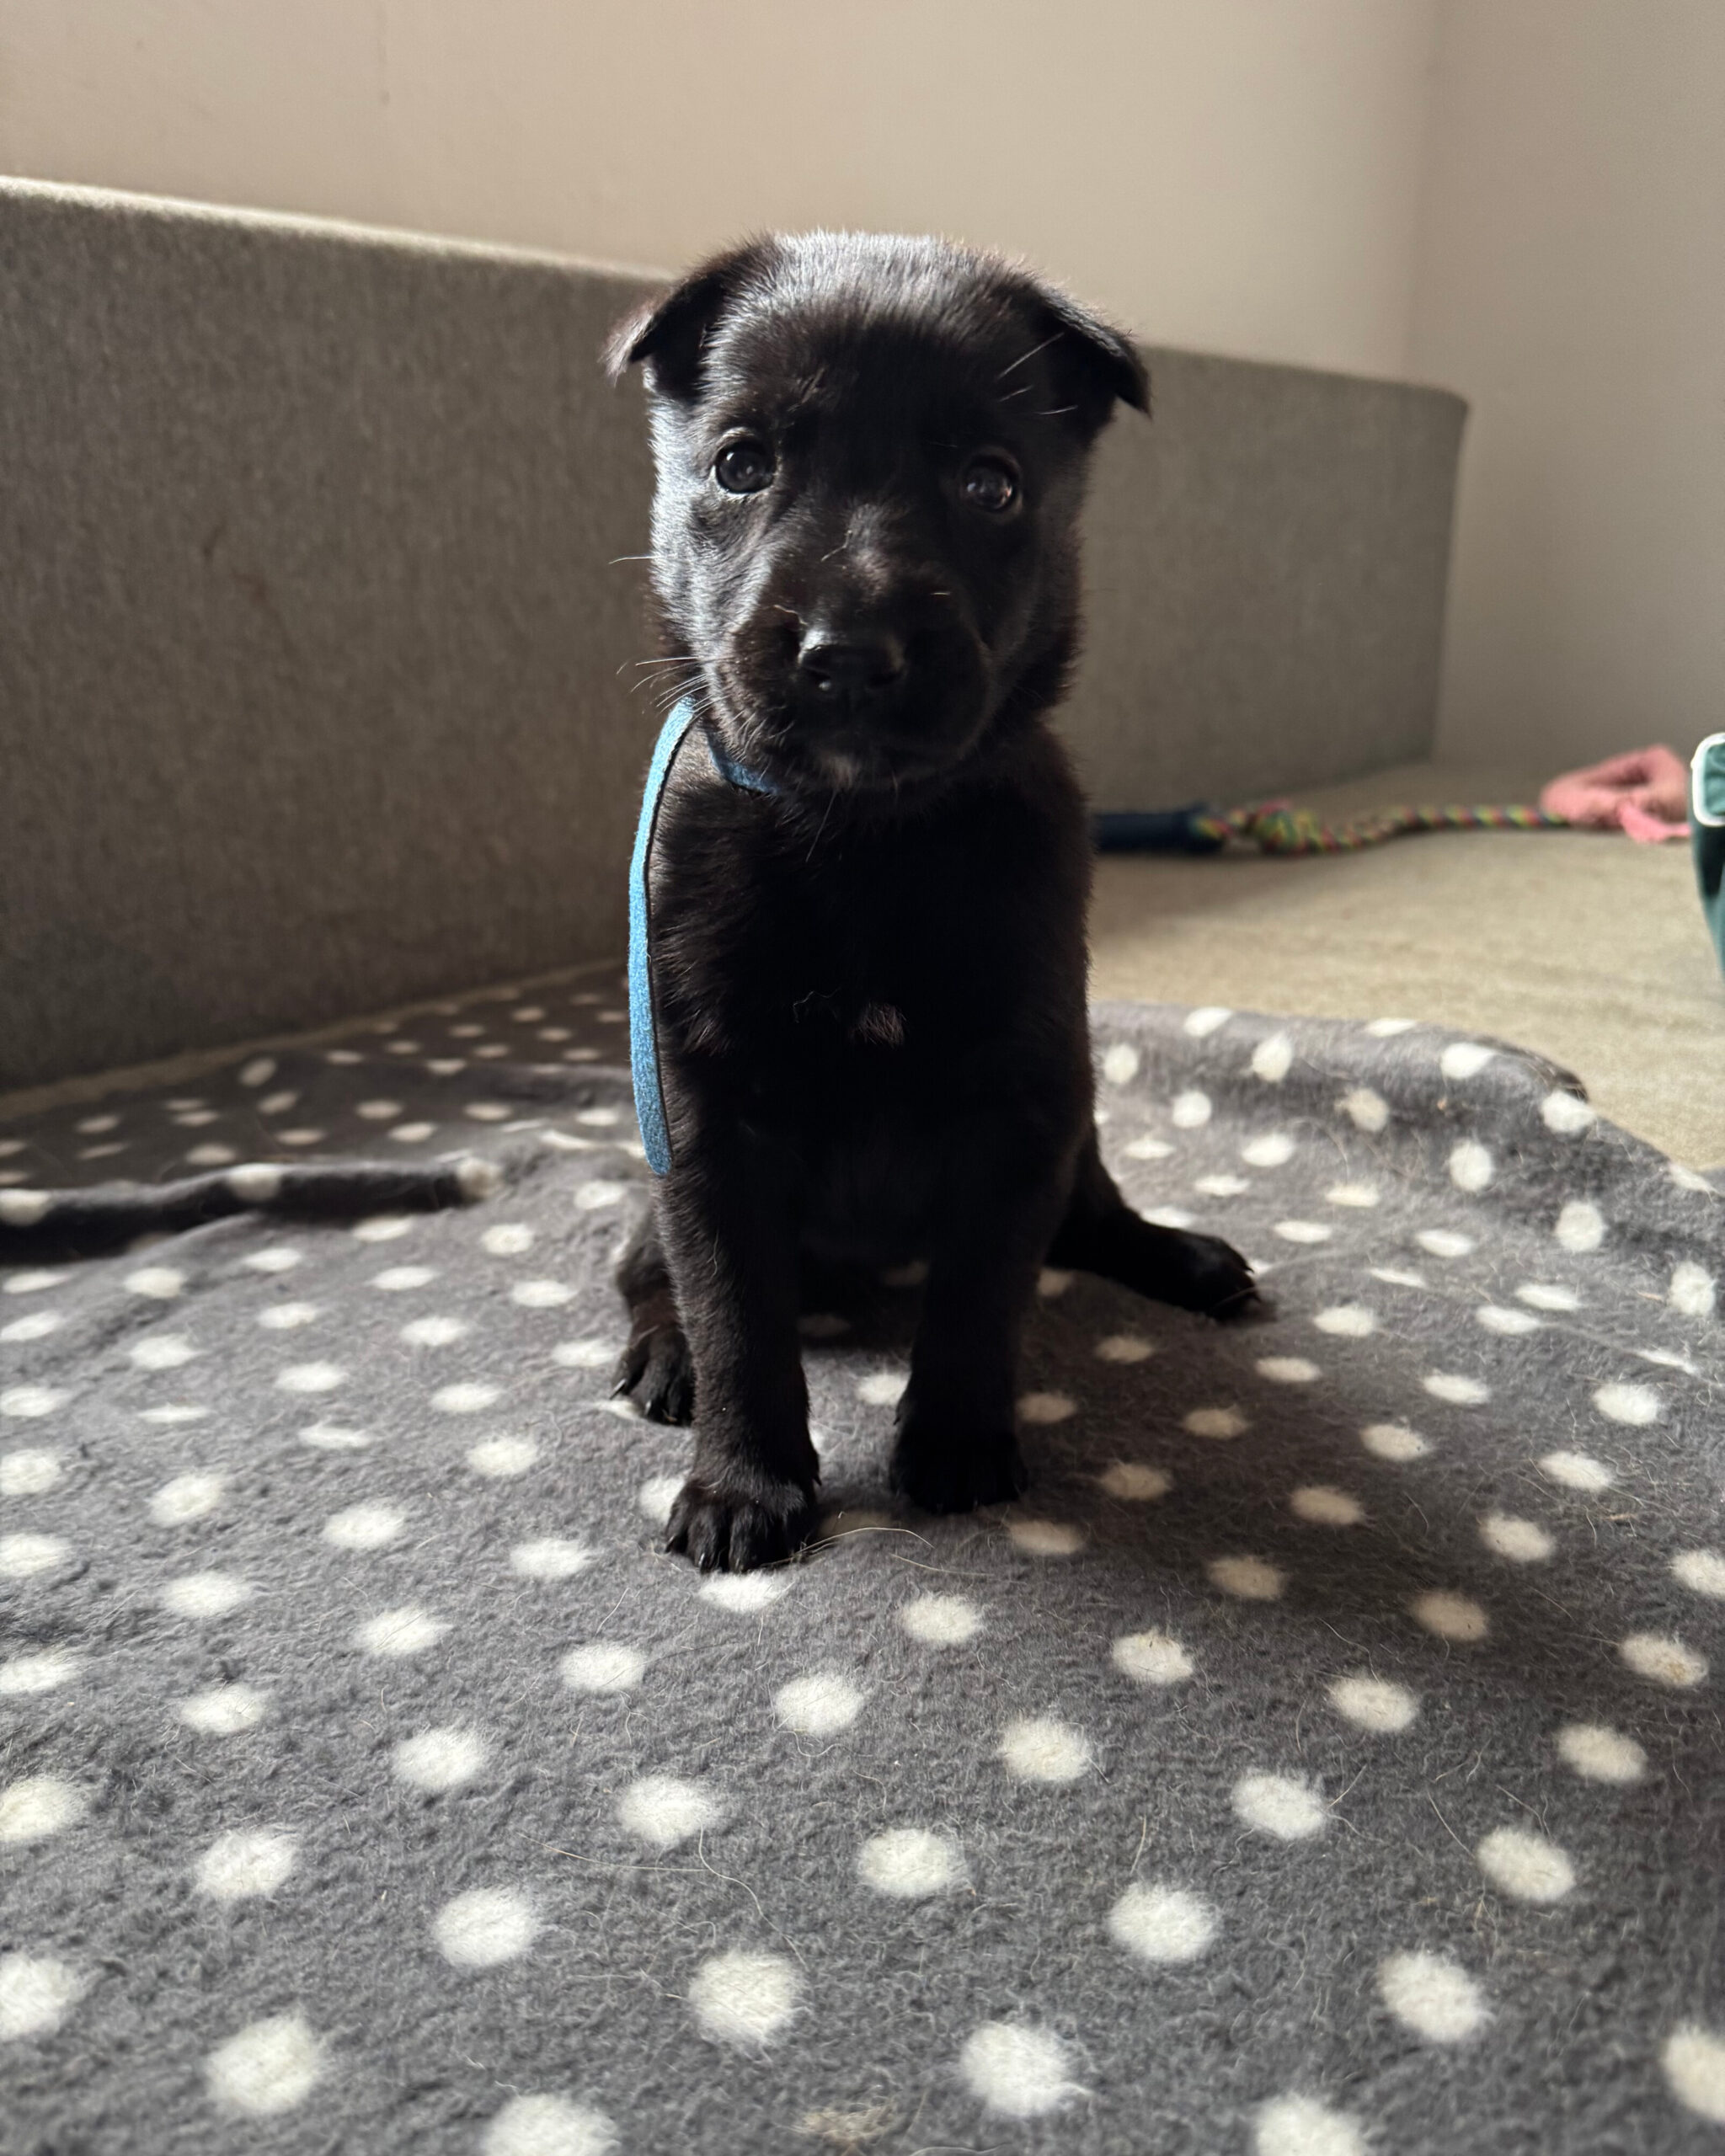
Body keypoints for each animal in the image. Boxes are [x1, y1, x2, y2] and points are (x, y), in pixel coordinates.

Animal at [606, 232, 1255, 1573]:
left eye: (989, 485)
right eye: (739, 464)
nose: (847, 655)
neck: (859, 836)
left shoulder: (1021, 1102)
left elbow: (980, 1295)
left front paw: (956, 1445)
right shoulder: (701, 1117)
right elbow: (735, 1309)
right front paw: (744, 1482)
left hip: (1079, 1116)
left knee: (1088, 1216)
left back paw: (1181, 1256)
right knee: (640, 1268)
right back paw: (660, 1357)